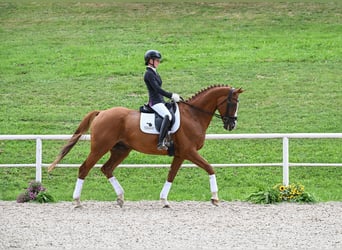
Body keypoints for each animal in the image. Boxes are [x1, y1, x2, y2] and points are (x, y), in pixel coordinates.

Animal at [49, 85, 244, 208]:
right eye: (233, 103)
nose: (232, 125)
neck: (193, 115)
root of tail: (101, 112)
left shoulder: (180, 154)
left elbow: (171, 175)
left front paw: (164, 200)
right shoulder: (189, 152)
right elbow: (210, 168)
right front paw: (215, 198)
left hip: (121, 150)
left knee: (107, 168)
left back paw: (120, 198)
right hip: (99, 148)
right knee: (84, 168)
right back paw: (77, 201)